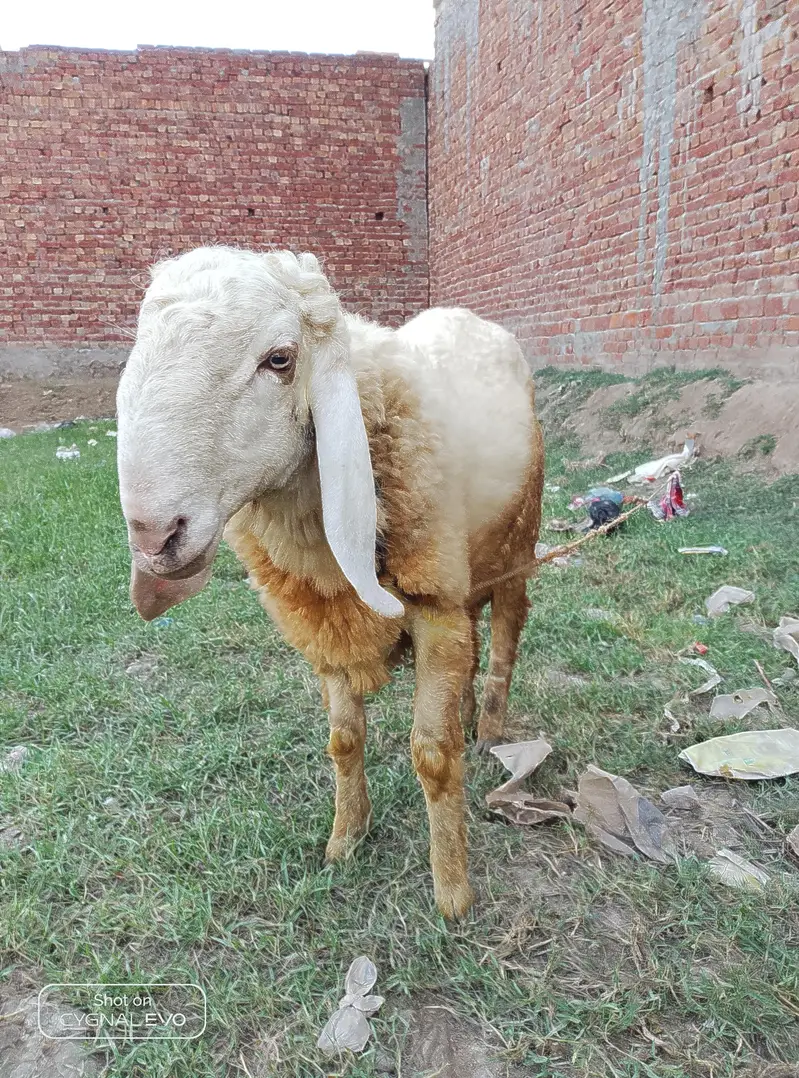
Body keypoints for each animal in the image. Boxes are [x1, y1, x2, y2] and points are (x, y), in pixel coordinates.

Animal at [116, 246, 544, 919]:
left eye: (280, 360)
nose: (156, 538)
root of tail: (469, 317)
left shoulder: (432, 609)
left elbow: (432, 754)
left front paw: (452, 891)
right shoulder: (328, 623)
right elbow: (344, 740)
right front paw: (346, 839)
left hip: (517, 542)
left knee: (504, 633)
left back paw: (491, 725)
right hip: (467, 565)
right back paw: (470, 709)